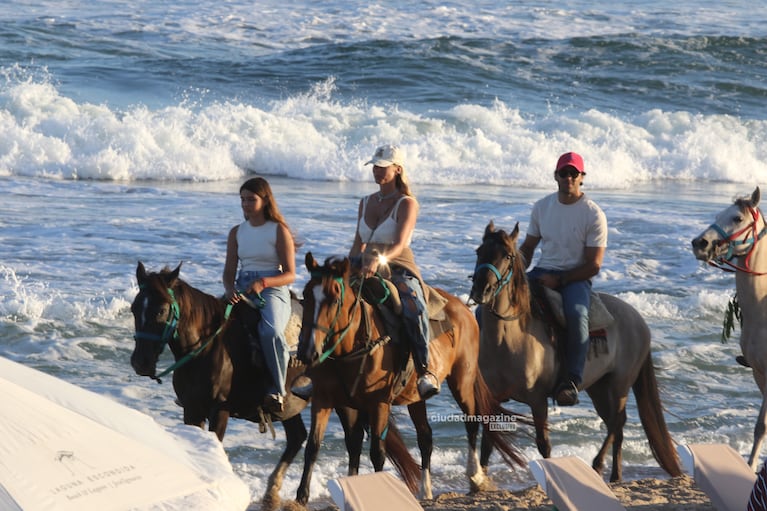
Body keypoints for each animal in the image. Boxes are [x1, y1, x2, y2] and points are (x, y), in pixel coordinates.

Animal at [294, 253, 528, 504]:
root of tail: (463, 308)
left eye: (334, 297)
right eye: (306, 294)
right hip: (416, 397)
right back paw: (425, 490)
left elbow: (377, 452)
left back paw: (474, 475)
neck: (352, 346)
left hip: (462, 380)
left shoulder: (379, 403)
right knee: (425, 437)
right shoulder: (328, 400)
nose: (307, 351)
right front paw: (302, 497)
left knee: (471, 420)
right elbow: (319, 446)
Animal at [472, 222, 680, 482]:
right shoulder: (494, 396)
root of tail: (638, 320)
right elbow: (488, 443)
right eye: (479, 251)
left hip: (619, 384)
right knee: (614, 423)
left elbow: (544, 444)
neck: (507, 340)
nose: (481, 290)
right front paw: (479, 482)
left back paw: (601, 466)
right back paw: (614, 475)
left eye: (507, 256)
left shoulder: (537, 399)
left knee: (617, 422)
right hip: (598, 387)